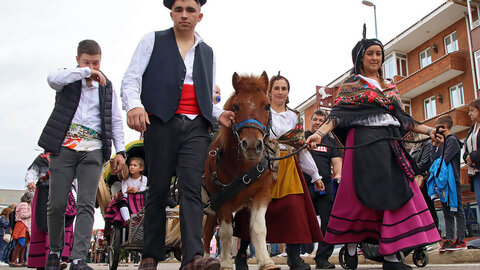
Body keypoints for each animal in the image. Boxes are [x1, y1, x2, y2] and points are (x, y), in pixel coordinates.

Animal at [202, 72, 278, 270]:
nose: (251, 146)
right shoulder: (222, 203)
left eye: (267, 105)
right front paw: (226, 262)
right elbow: (226, 233)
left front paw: (265, 261)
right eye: (236, 106)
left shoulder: (261, 195)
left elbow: (259, 229)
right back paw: (204, 260)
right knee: (205, 233)